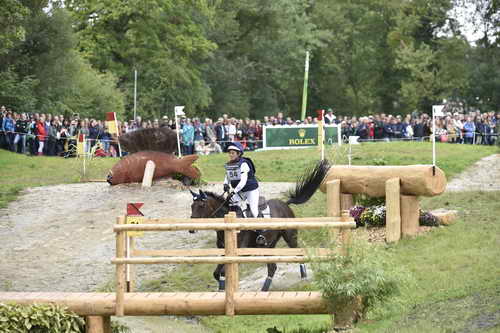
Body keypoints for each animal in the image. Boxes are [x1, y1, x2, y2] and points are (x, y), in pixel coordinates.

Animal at [189, 158, 330, 290]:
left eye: (201, 206)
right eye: (191, 206)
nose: (191, 229)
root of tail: (285, 204)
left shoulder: (239, 252)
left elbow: (223, 272)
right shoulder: (225, 253)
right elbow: (217, 273)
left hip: (290, 237)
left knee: (298, 254)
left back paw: (303, 276)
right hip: (268, 245)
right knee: (272, 267)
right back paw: (264, 289)